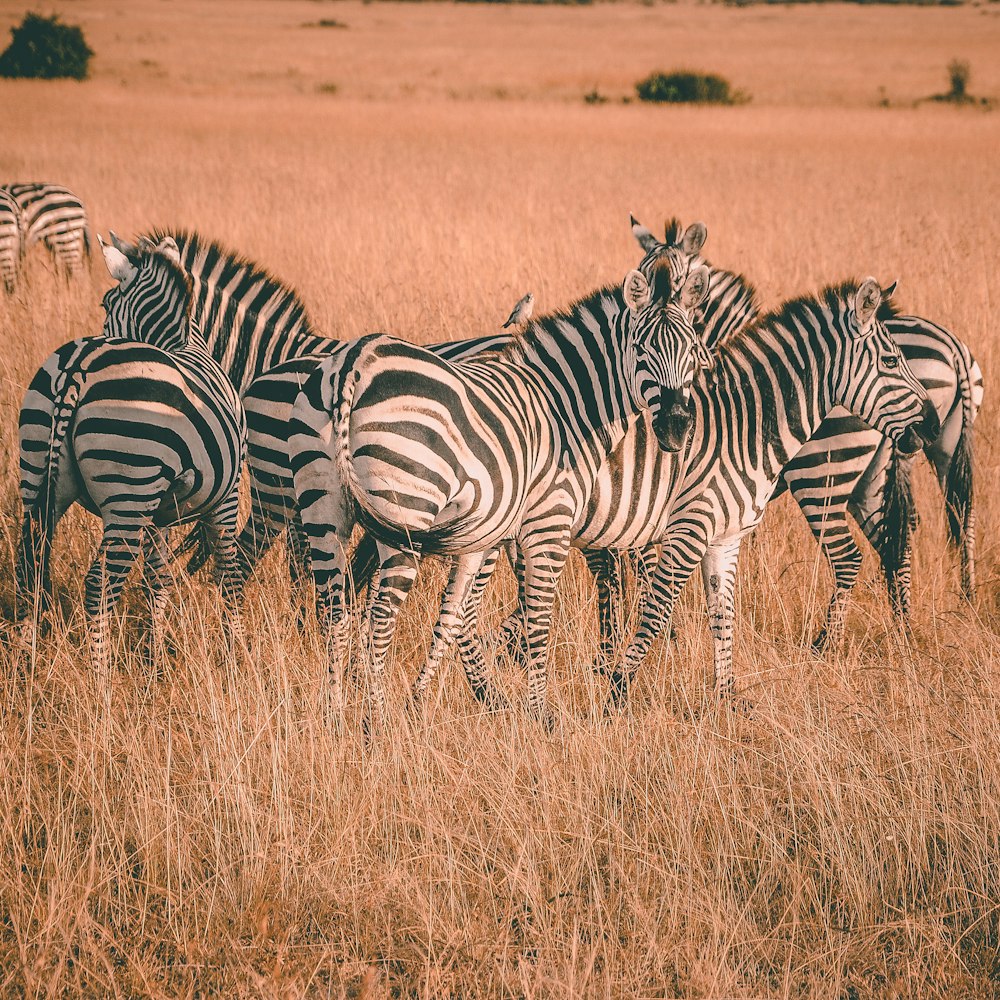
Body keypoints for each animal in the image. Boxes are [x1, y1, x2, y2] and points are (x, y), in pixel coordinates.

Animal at [16, 238, 246, 668]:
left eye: (105, 304)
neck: (183, 342)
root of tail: (80, 364)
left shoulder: (160, 509)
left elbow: (158, 577)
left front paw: (155, 658)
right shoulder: (229, 494)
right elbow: (229, 571)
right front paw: (235, 651)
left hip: (39, 474)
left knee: (29, 565)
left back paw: (27, 661)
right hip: (129, 491)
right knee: (99, 584)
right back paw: (100, 676)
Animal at [290, 244, 712, 728]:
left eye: (693, 350)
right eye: (641, 350)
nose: (677, 428)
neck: (565, 407)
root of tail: (354, 361)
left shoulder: (489, 534)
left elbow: (457, 613)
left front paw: (444, 697)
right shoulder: (549, 522)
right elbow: (539, 616)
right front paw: (540, 714)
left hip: (323, 507)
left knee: (334, 612)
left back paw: (334, 716)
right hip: (406, 510)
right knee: (379, 618)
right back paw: (375, 724)